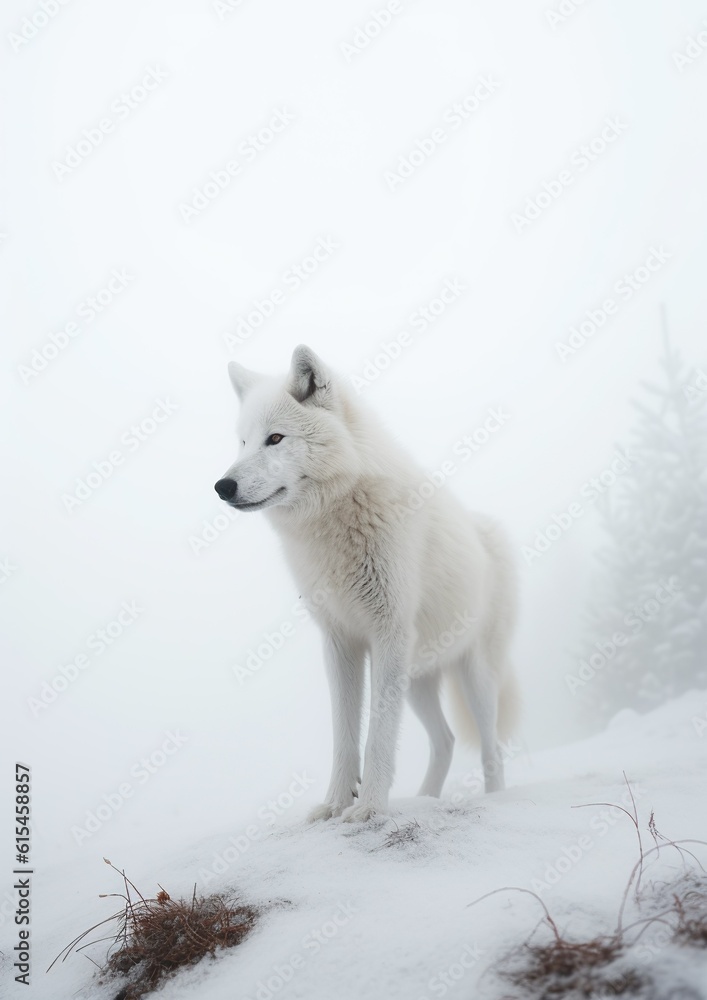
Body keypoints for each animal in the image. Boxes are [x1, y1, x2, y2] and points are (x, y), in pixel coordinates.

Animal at [215, 346, 519, 822]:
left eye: (276, 439)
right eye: (243, 442)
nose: (222, 486)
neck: (335, 522)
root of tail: (487, 529)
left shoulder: (387, 633)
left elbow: (378, 734)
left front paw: (371, 808)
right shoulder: (340, 641)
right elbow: (344, 733)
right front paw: (335, 804)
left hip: (476, 678)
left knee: (492, 749)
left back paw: (493, 799)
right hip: (419, 679)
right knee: (446, 741)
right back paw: (425, 800)